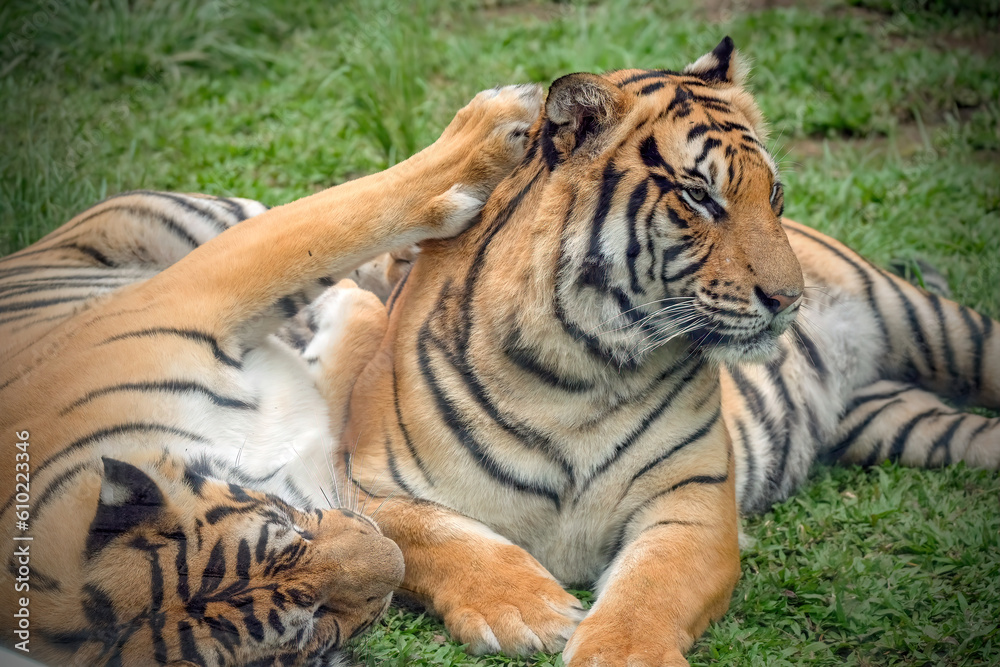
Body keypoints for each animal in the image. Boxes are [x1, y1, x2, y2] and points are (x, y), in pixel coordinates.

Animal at [0, 83, 544, 666]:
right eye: (312, 627)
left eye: (288, 531)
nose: (390, 560)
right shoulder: (326, 457)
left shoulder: (197, 294)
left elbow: (330, 223)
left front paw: (495, 123)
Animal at [341, 37, 1000, 666]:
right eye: (701, 197)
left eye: (774, 193)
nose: (791, 300)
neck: (578, 371)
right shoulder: (357, 482)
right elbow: (433, 536)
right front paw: (527, 610)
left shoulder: (694, 497)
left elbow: (650, 588)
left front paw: (621, 652)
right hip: (902, 422)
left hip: (933, 323)